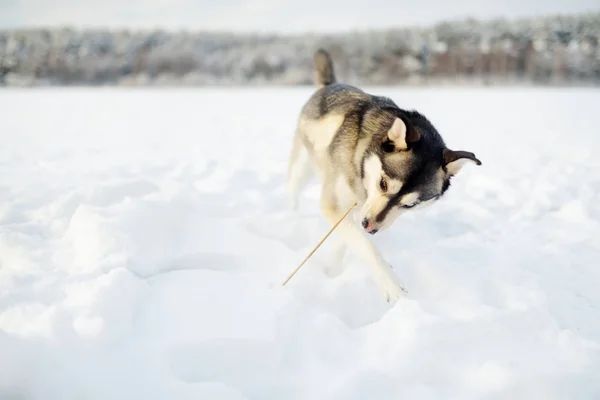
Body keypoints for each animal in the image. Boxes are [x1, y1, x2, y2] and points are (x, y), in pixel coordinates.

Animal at [288, 48, 482, 302]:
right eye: (383, 183)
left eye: (410, 205)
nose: (370, 227)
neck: (361, 156)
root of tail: (329, 85)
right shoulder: (337, 204)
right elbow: (365, 245)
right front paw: (391, 285)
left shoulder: (356, 210)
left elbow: (350, 238)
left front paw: (335, 267)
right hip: (303, 165)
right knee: (292, 189)